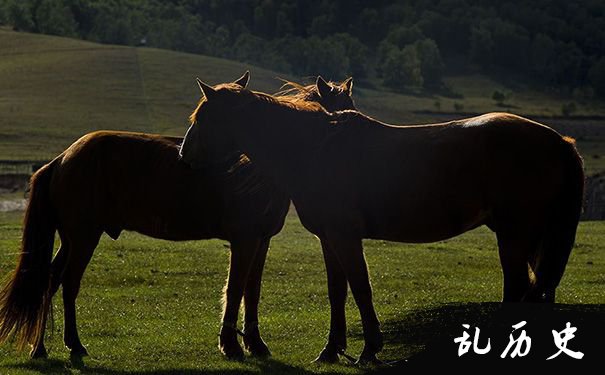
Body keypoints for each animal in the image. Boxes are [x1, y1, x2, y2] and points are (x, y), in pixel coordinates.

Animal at [0, 72, 354, 362]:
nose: (185, 154)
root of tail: (62, 158)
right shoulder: (244, 240)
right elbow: (236, 289)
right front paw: (231, 346)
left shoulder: (261, 240)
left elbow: (251, 292)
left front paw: (255, 344)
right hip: (84, 237)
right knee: (68, 283)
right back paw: (71, 344)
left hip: (72, 239)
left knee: (49, 280)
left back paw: (41, 347)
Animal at [179, 75, 584, 366]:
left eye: (202, 118)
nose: (184, 155)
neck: (315, 149)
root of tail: (560, 141)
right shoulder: (330, 239)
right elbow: (338, 291)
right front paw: (331, 350)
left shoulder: (345, 236)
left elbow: (360, 287)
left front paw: (369, 349)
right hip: (530, 237)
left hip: (515, 236)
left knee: (518, 289)